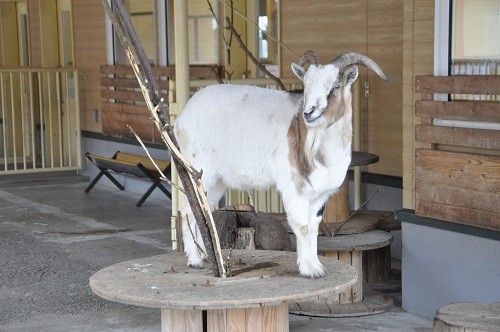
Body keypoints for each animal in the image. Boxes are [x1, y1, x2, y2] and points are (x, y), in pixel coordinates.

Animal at [174, 50, 388, 276]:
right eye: (306, 85)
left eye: (335, 86)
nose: (309, 112)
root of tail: (182, 117)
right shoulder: (293, 186)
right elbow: (302, 226)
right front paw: (309, 270)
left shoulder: (320, 194)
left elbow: (314, 227)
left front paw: (317, 266)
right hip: (198, 170)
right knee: (188, 210)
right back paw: (195, 260)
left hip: (217, 181)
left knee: (204, 208)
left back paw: (206, 256)